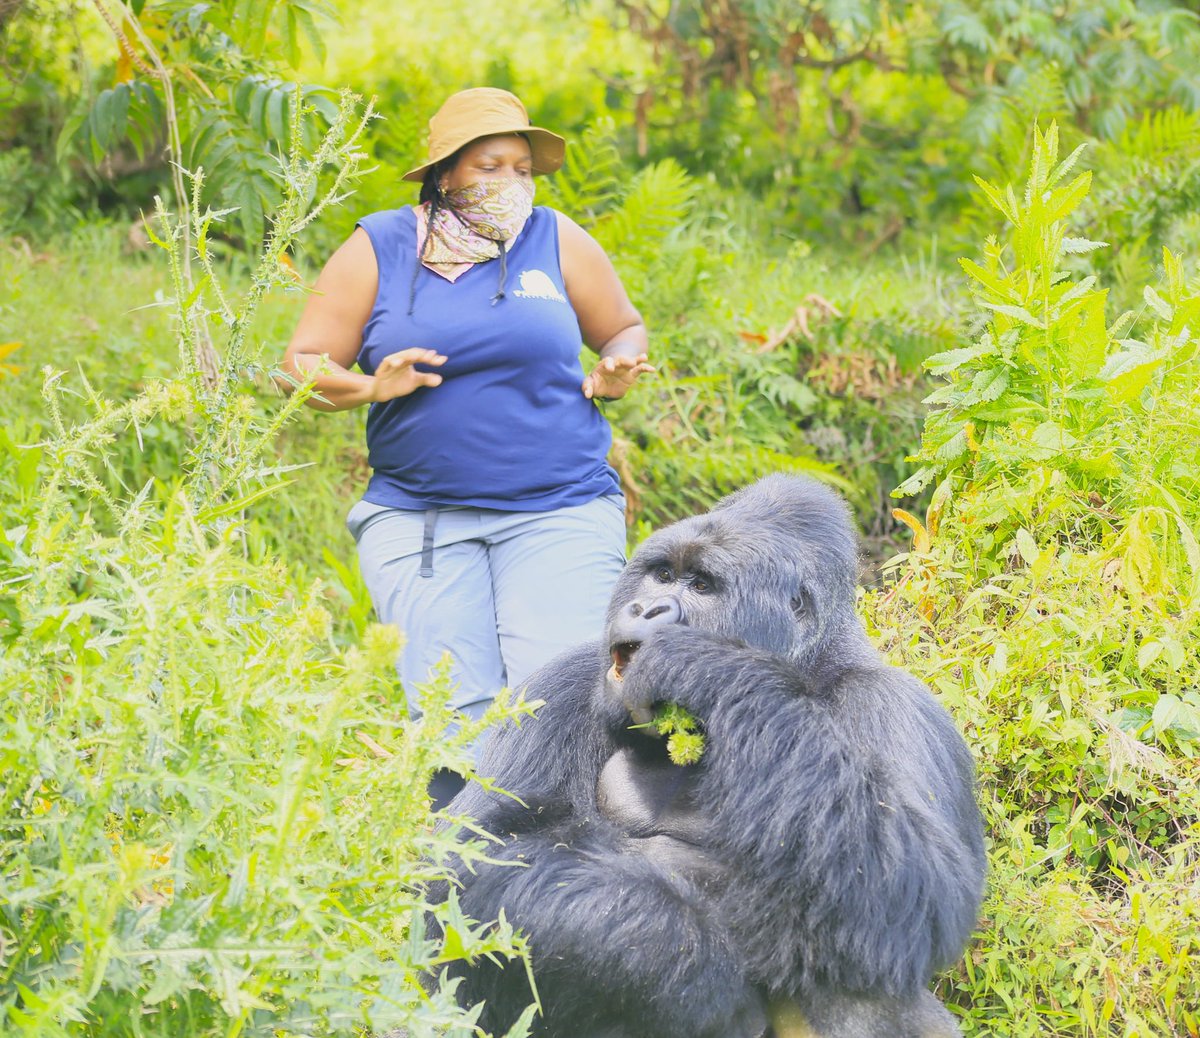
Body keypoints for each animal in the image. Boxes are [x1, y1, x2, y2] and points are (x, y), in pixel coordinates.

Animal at [432, 477, 984, 1036]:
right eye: (661, 575)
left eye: (700, 586)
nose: (647, 609)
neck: (806, 667)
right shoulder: (561, 682)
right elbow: (472, 855)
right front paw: (693, 969)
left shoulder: (892, 704)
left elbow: (920, 889)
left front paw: (705, 664)